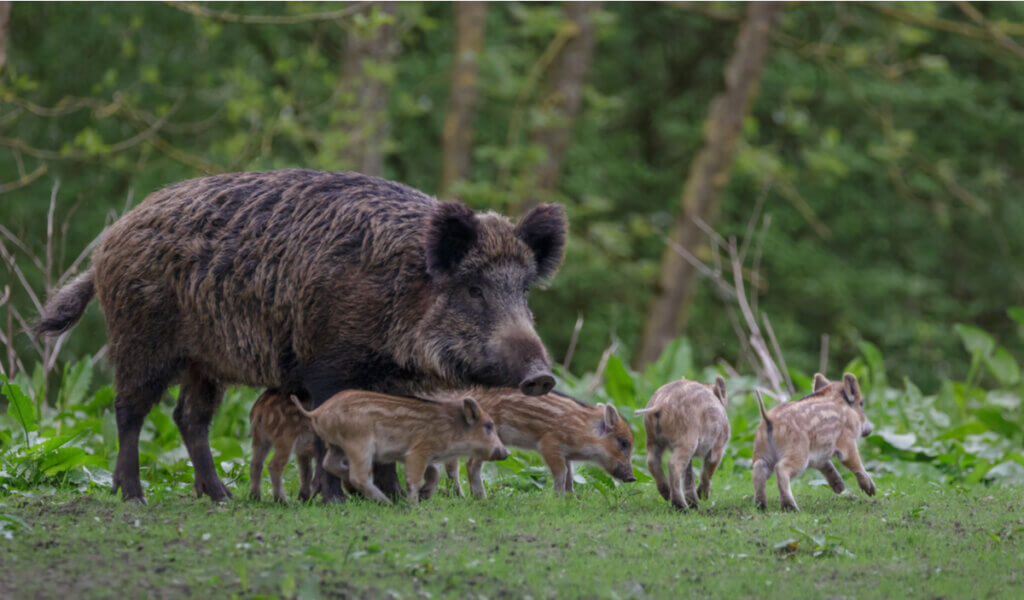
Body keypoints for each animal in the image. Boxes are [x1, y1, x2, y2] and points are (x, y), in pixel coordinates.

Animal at [290, 390, 509, 504]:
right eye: (488, 426)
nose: (506, 452)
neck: (451, 427)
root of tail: (317, 412)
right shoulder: (418, 451)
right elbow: (414, 479)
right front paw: (413, 505)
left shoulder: (430, 456)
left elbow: (434, 473)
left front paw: (424, 496)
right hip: (359, 444)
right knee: (357, 476)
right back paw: (385, 502)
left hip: (336, 445)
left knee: (330, 464)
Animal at [442, 388, 636, 497]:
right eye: (623, 443)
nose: (632, 478)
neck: (583, 430)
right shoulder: (549, 444)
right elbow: (561, 473)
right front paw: (558, 499)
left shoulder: (565, 454)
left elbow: (570, 475)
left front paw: (571, 499)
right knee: (470, 463)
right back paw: (481, 497)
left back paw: (460, 496)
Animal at [637, 376, 729, 510]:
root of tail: (661, 403)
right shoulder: (718, 446)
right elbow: (709, 468)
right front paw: (702, 497)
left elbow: (689, 474)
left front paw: (695, 503)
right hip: (687, 440)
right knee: (673, 465)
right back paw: (681, 506)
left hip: (652, 439)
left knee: (652, 462)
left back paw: (668, 495)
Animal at [752, 373, 875, 511]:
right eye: (861, 403)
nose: (870, 430)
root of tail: (768, 418)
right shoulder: (847, 443)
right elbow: (856, 463)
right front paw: (871, 491)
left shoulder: (818, 455)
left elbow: (826, 465)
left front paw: (840, 488)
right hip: (798, 454)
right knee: (781, 468)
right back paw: (791, 507)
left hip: (762, 452)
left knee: (758, 468)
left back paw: (761, 505)